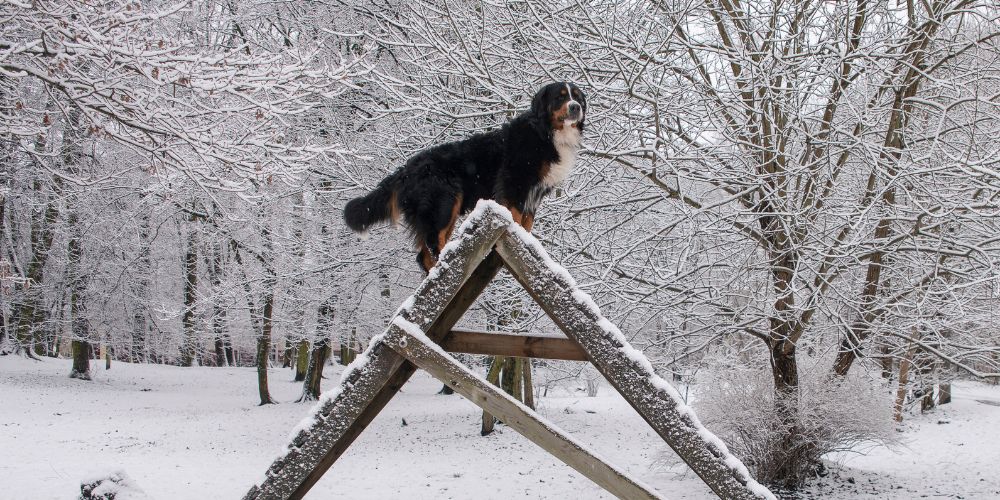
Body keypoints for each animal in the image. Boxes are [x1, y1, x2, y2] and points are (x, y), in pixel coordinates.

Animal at [346, 82, 584, 272]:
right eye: (560, 96)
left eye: (577, 96)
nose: (576, 107)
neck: (545, 133)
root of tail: (407, 169)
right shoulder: (515, 183)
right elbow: (514, 215)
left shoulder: (534, 193)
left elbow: (527, 223)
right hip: (443, 203)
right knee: (432, 246)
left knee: (424, 254)